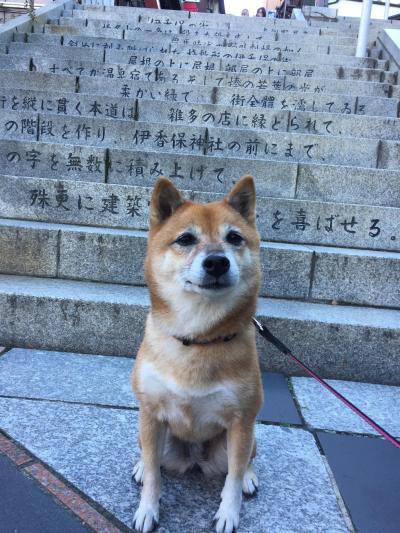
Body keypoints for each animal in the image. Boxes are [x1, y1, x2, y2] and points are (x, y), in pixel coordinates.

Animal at [131, 178, 262, 532]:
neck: (197, 338)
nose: (217, 261)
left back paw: (249, 477)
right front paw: (148, 509)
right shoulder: (150, 411)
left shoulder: (242, 419)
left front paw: (229, 513)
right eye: (186, 239)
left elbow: (232, 479)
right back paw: (139, 466)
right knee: (150, 457)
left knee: (244, 460)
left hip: (240, 438)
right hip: (157, 437)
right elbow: (154, 475)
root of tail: (194, 460)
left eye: (234, 238)